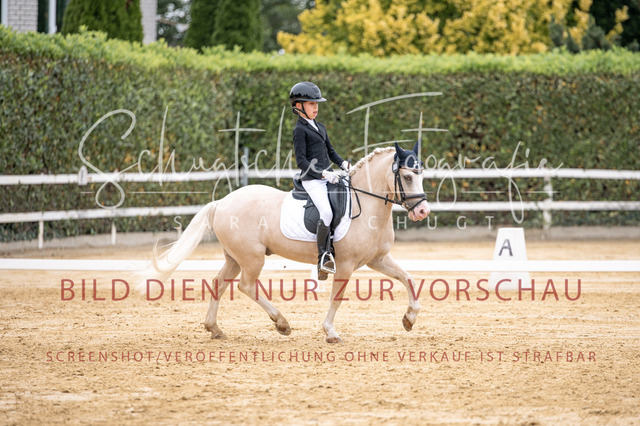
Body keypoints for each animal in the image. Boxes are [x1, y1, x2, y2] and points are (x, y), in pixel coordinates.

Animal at [138, 142, 430, 343]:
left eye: (421, 175)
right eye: (407, 177)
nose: (422, 211)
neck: (367, 205)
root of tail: (221, 202)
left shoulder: (378, 259)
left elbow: (409, 278)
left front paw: (409, 319)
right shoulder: (345, 264)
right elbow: (337, 298)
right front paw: (330, 332)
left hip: (234, 257)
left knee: (219, 283)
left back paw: (215, 329)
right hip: (252, 257)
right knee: (246, 285)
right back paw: (281, 323)